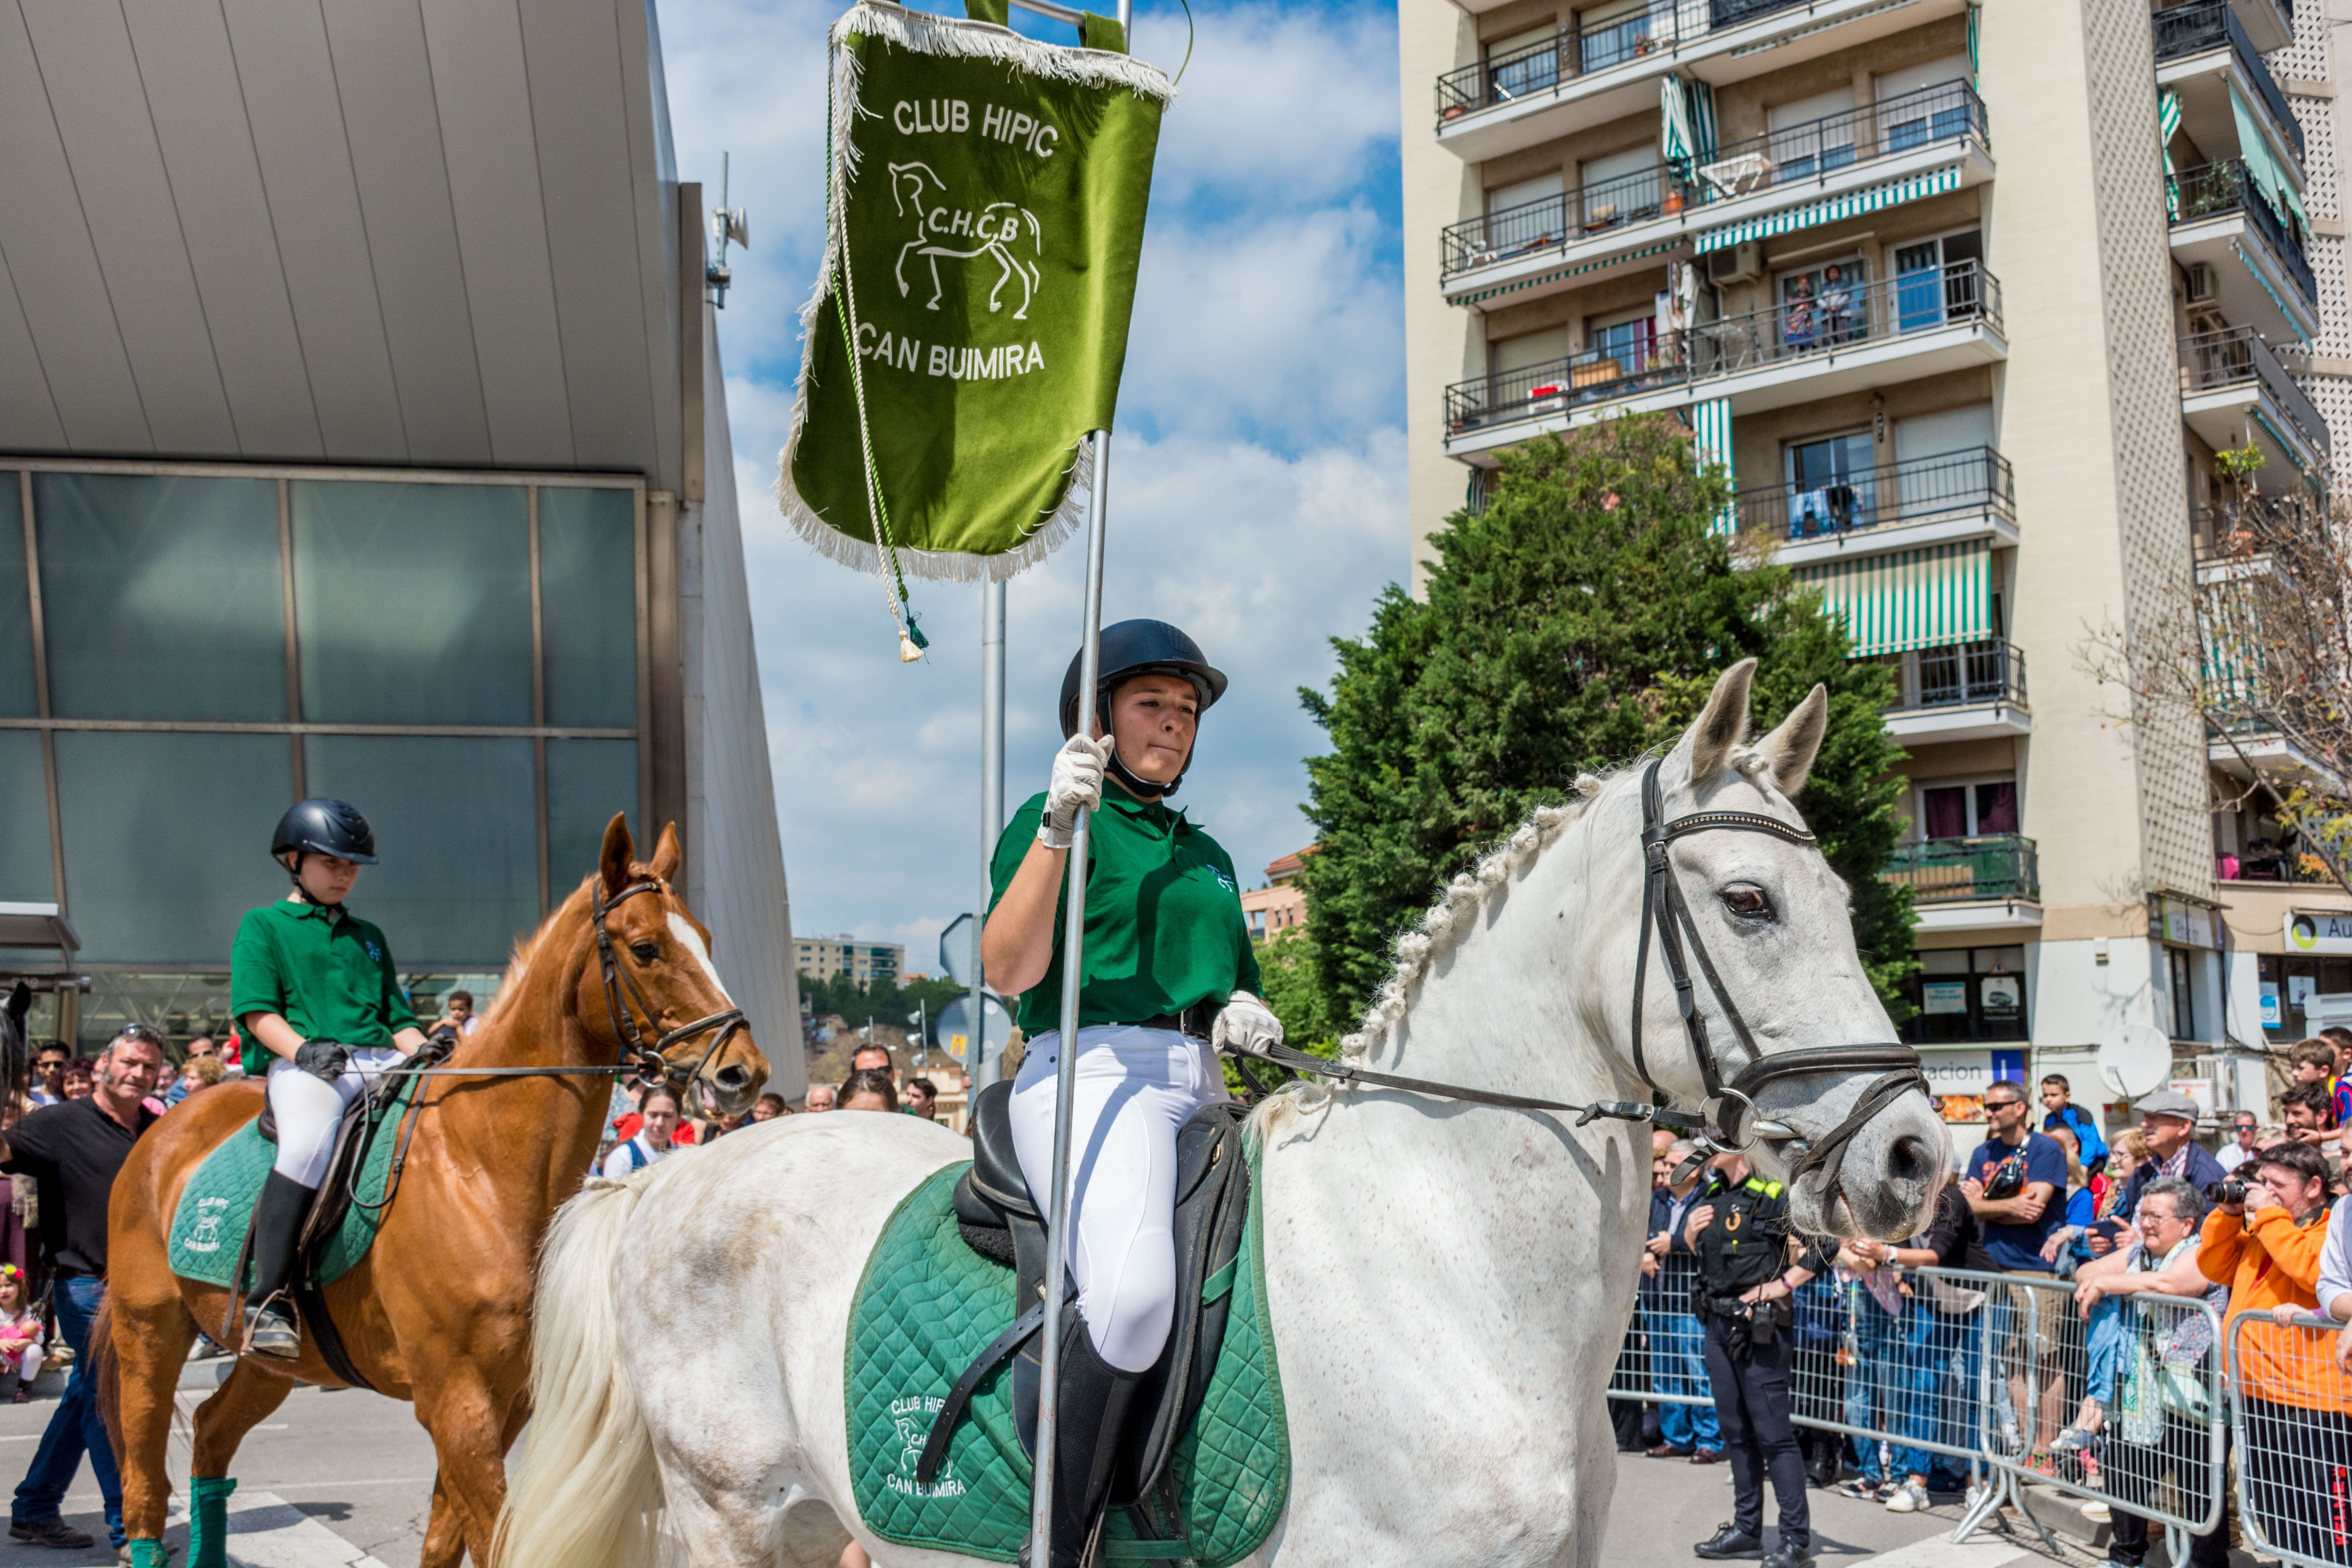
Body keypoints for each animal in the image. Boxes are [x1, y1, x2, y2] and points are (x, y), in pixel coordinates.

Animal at [101, 822, 767, 1568]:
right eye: (647, 948)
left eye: (705, 939)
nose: (742, 1073)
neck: (481, 1170)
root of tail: (162, 1133)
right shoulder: (456, 1398)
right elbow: (493, 1538)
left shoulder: (509, 1400)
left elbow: (446, 1538)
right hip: (150, 1332)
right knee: (144, 1477)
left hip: (268, 1364)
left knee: (213, 1434)